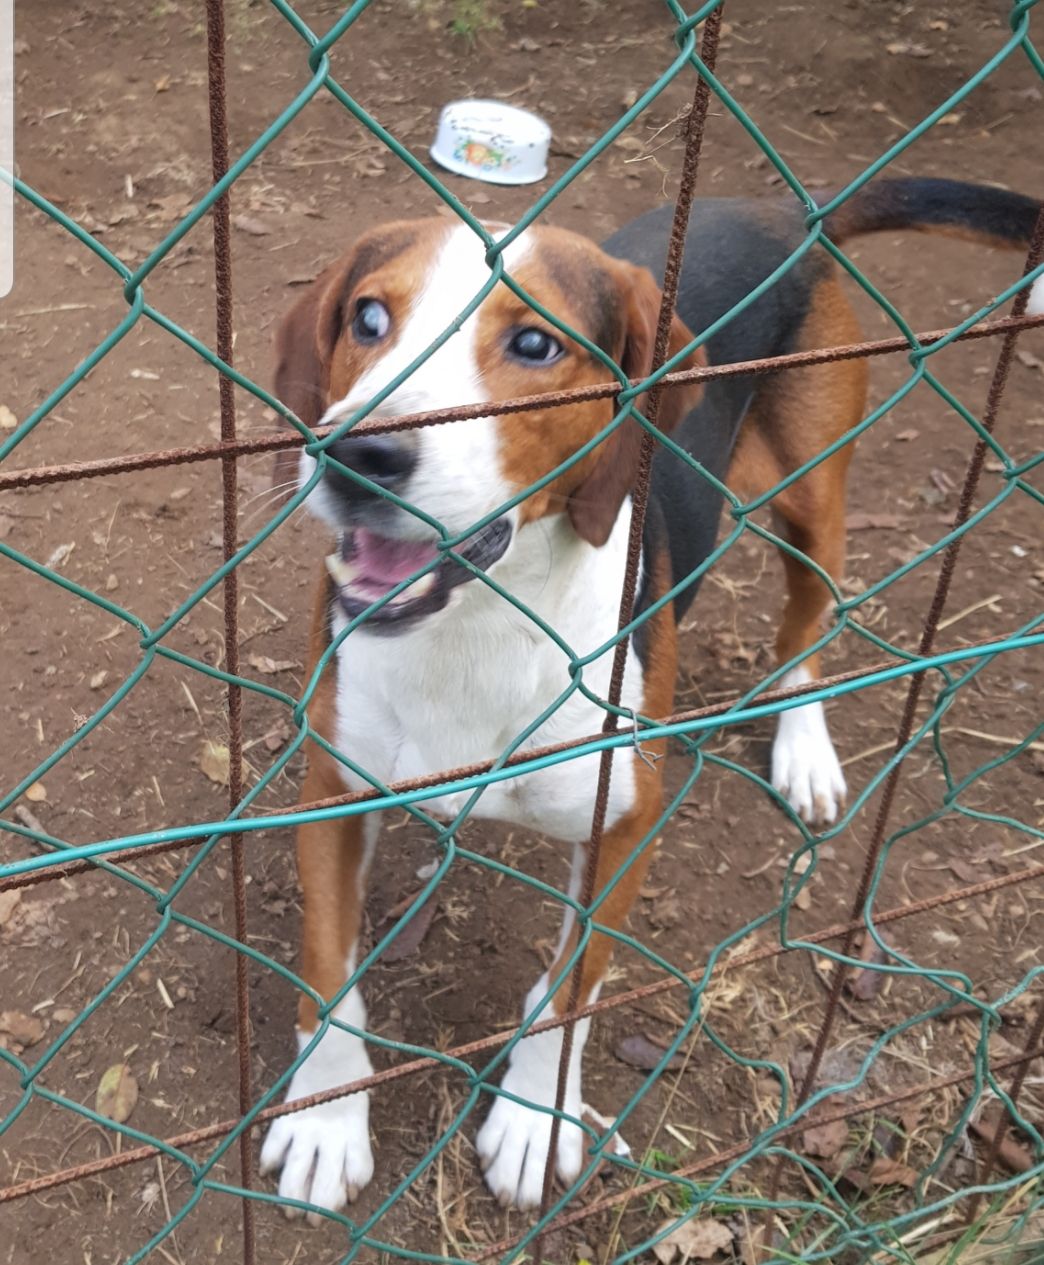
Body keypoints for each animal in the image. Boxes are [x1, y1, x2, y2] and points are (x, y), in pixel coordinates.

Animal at [256, 178, 1037, 1214]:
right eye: (368, 319)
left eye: (534, 344)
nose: (357, 454)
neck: (475, 625)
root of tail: (784, 216)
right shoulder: (333, 795)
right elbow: (328, 976)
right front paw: (324, 1120)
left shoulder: (624, 822)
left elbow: (571, 989)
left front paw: (534, 1117)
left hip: (810, 494)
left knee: (807, 621)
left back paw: (804, 747)